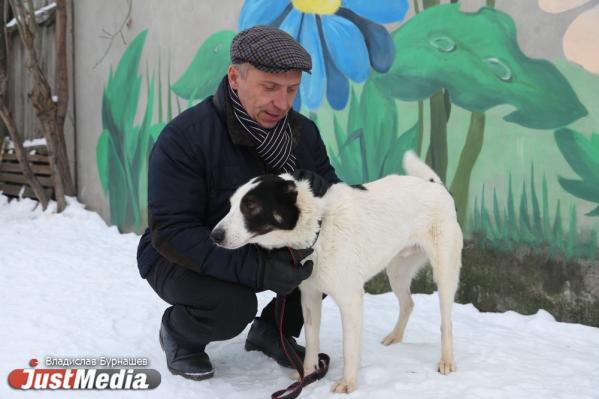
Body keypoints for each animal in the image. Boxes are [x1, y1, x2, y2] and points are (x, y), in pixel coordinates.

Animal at [211, 152, 464, 394]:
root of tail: (436, 186)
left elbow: (349, 347)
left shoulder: (351, 300)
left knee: (447, 322)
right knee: (408, 304)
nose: (215, 236)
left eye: (251, 205)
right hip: (396, 272)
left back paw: (447, 360)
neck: (318, 226)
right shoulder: (309, 296)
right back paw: (395, 337)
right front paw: (308, 373)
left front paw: (348, 383)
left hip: (444, 273)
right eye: (231, 205)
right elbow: (312, 341)